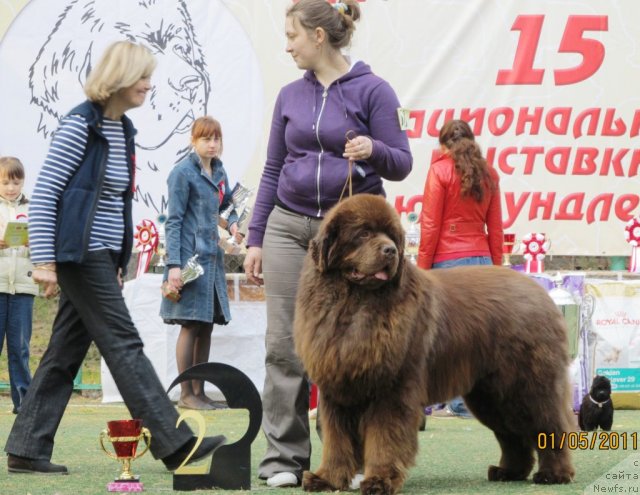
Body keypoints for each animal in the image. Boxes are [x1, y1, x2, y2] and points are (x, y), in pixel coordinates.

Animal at [294, 194, 576, 495]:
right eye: (364, 233)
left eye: (392, 236)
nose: (390, 251)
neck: (354, 304)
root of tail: (540, 292)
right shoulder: (337, 387)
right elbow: (336, 440)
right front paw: (326, 479)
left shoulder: (392, 388)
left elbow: (384, 437)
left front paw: (379, 480)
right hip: (490, 395)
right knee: (511, 433)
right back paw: (509, 471)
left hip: (527, 386)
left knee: (550, 426)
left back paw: (554, 473)